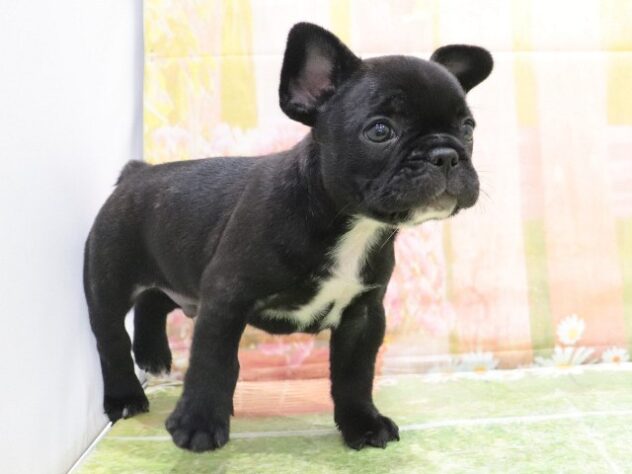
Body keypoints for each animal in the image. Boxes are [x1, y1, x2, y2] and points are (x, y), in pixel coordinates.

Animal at [84, 22, 492, 451]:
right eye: (381, 130)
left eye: (467, 128)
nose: (446, 155)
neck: (350, 222)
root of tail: (137, 172)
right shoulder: (225, 297)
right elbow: (214, 362)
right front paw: (198, 423)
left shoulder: (363, 314)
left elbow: (354, 374)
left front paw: (362, 423)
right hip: (110, 277)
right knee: (110, 336)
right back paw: (126, 396)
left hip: (179, 275)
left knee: (155, 300)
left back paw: (153, 355)